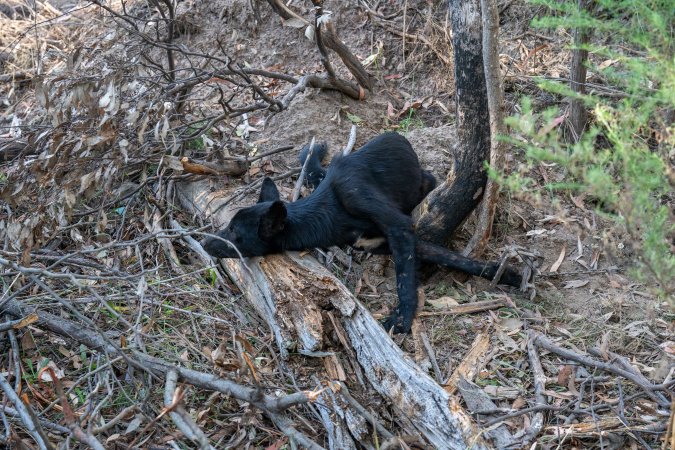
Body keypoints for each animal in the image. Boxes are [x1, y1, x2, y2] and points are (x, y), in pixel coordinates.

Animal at [203, 132, 520, 332]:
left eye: (234, 233)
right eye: (229, 226)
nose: (204, 242)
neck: (329, 213)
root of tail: (398, 137)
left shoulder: (396, 226)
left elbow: (406, 278)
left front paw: (403, 317)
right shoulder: (385, 242)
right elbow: (447, 257)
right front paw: (503, 273)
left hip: (418, 185)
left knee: (429, 181)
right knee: (314, 171)